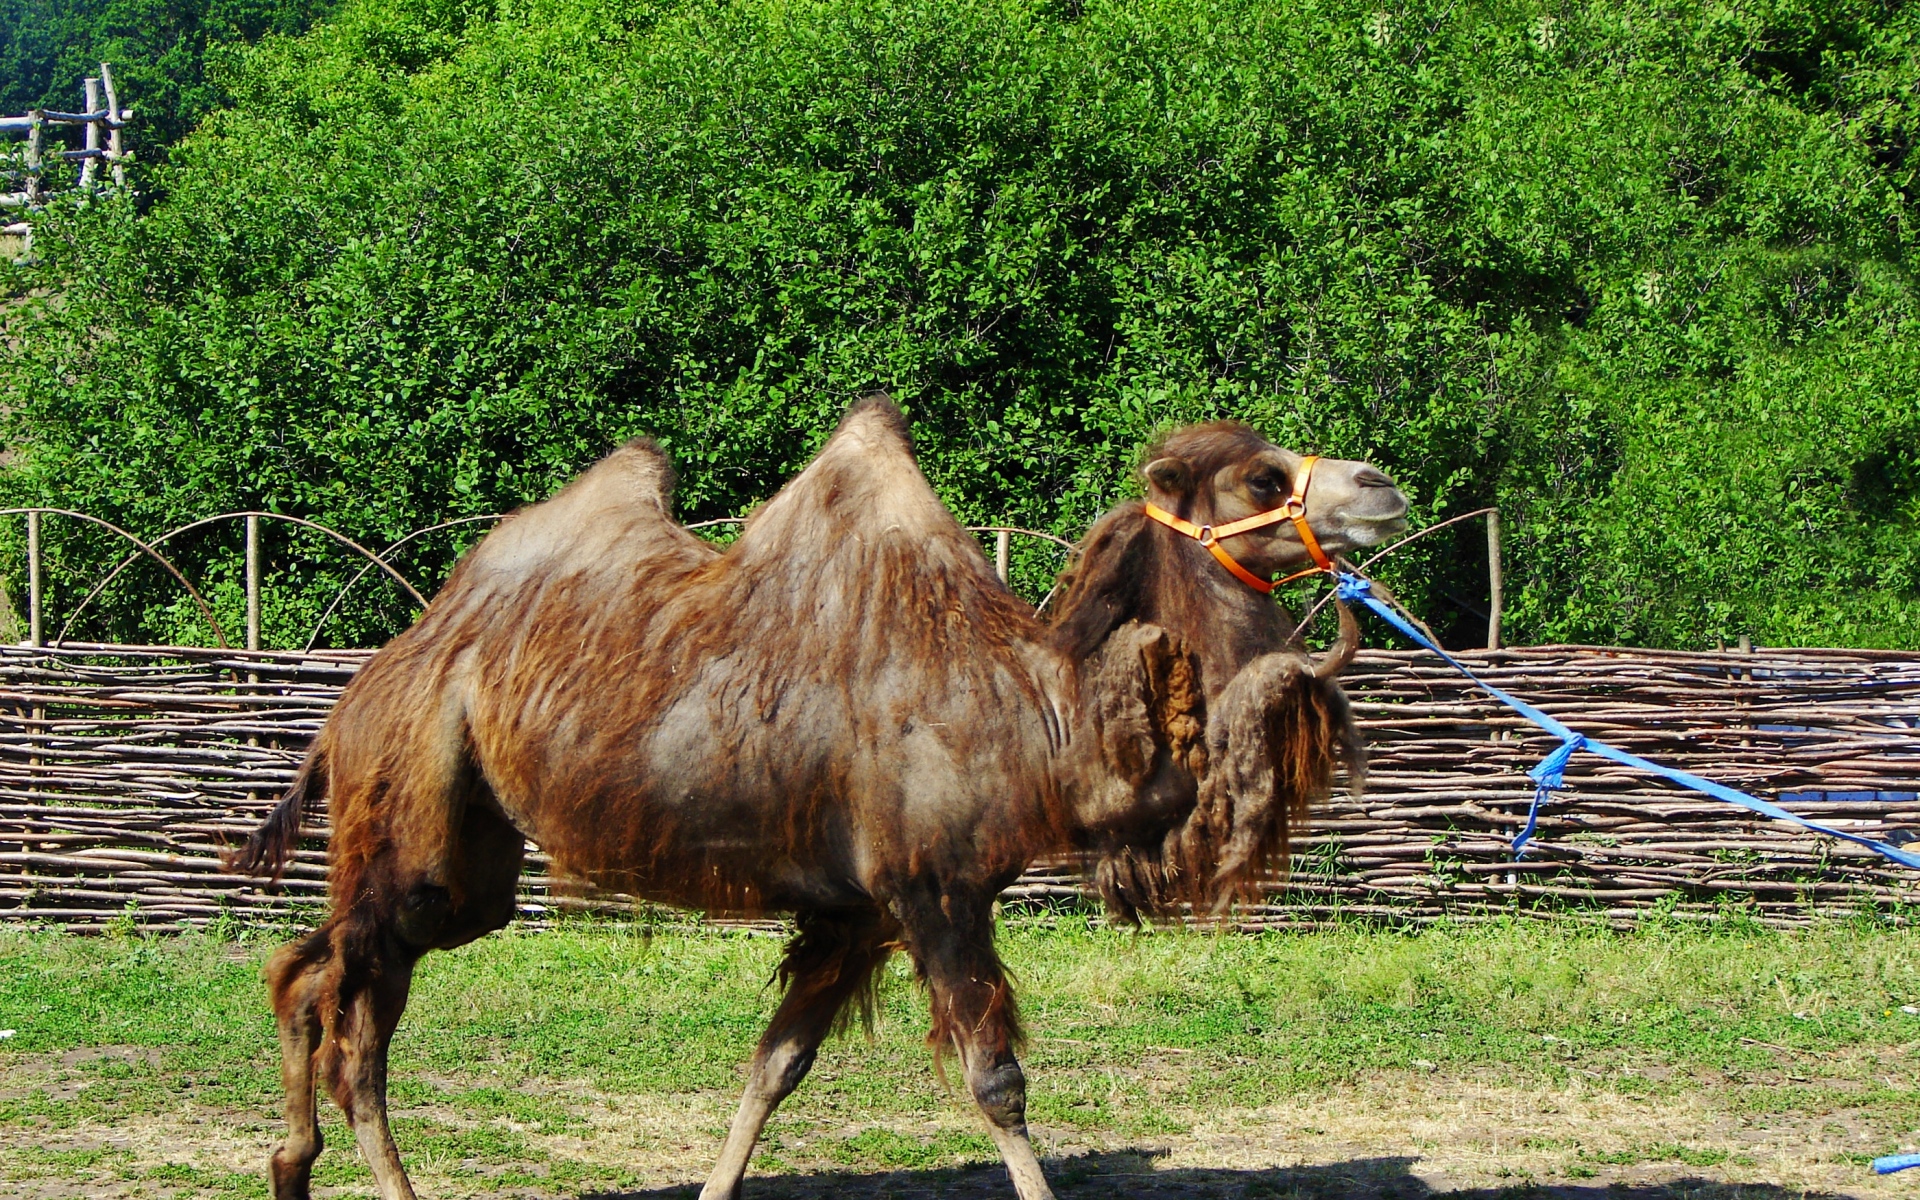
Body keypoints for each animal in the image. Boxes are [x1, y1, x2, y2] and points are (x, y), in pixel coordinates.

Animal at [225, 396, 1408, 1200]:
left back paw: (292, 1164)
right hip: (416, 810)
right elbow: (998, 1084)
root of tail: (357, 695)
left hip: (470, 865)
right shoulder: (936, 890)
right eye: (1260, 479)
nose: (1382, 485)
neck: (1040, 718)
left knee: (317, 973)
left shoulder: (855, 911)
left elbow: (774, 1068)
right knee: (350, 1011)